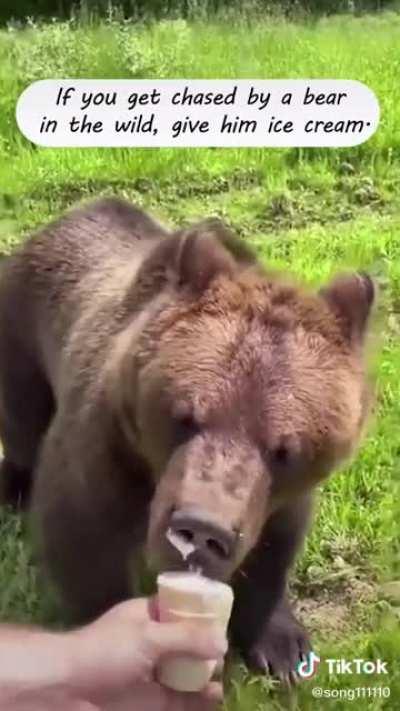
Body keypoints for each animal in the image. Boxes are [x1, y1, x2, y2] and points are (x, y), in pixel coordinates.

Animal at [0, 197, 374, 681]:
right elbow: (83, 540)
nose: (202, 529)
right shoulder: (106, 447)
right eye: (185, 417)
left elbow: (274, 547)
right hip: (21, 342)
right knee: (23, 426)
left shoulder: (281, 496)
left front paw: (282, 647)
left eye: (284, 450)